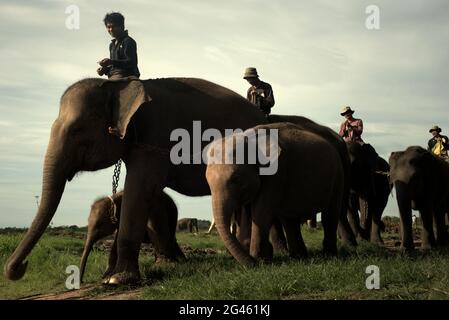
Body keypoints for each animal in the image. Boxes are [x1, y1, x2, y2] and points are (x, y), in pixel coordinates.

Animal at [4, 75, 266, 284]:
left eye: (77, 130)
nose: (20, 268)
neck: (119, 86)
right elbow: (147, 192)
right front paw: (119, 275)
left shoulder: (155, 137)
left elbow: (140, 188)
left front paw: (118, 280)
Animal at [204, 122, 344, 264]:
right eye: (207, 182)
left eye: (236, 178)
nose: (252, 264)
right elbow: (247, 211)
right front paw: (260, 258)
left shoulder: (277, 172)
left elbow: (261, 211)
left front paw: (260, 260)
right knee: (290, 218)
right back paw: (299, 257)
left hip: (338, 175)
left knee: (330, 214)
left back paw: (329, 255)